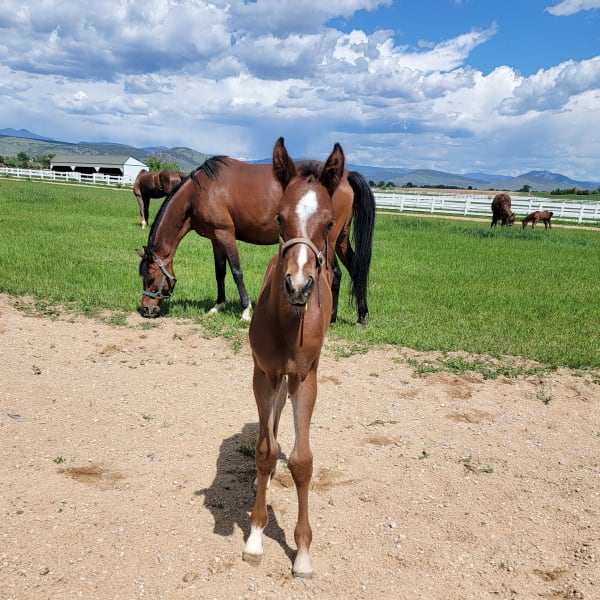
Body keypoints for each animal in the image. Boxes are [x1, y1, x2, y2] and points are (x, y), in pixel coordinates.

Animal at [138, 148, 376, 324]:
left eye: (149, 277)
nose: (146, 309)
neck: (199, 192)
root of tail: (346, 176)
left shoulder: (225, 234)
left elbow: (236, 272)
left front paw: (245, 311)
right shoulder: (215, 239)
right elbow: (220, 272)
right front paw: (217, 305)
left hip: (329, 242)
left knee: (335, 273)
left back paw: (332, 317)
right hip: (341, 240)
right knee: (355, 270)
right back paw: (361, 316)